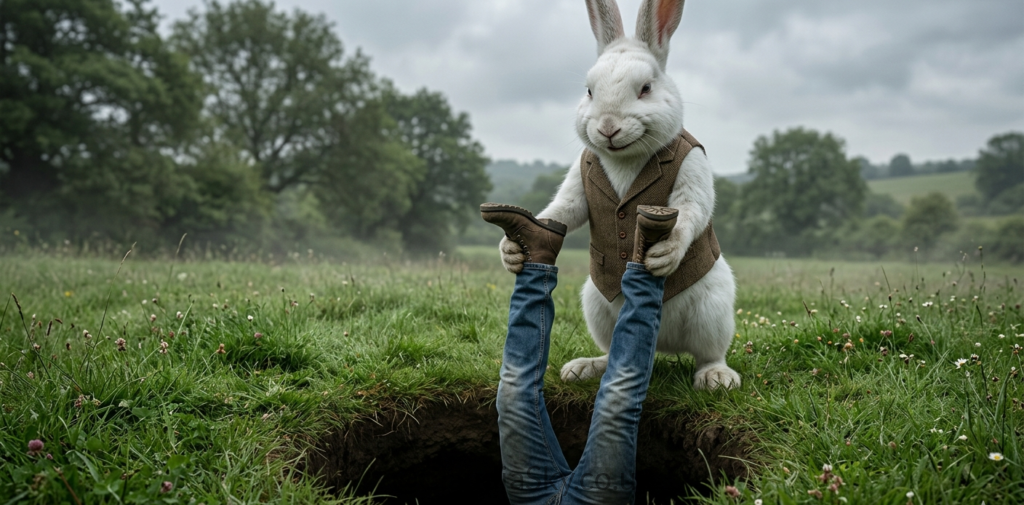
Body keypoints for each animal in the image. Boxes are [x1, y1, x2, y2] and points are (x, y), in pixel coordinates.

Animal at [498, 0, 740, 390]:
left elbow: (691, 212)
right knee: (615, 349)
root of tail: (663, 344)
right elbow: (563, 211)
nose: (608, 127)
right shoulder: (577, 187)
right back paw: (586, 367)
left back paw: (716, 377)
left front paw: (665, 255)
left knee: (709, 353)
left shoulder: (693, 170)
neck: (625, 156)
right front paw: (509, 252)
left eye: (646, 88)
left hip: (712, 311)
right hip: (597, 307)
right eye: (589, 91)